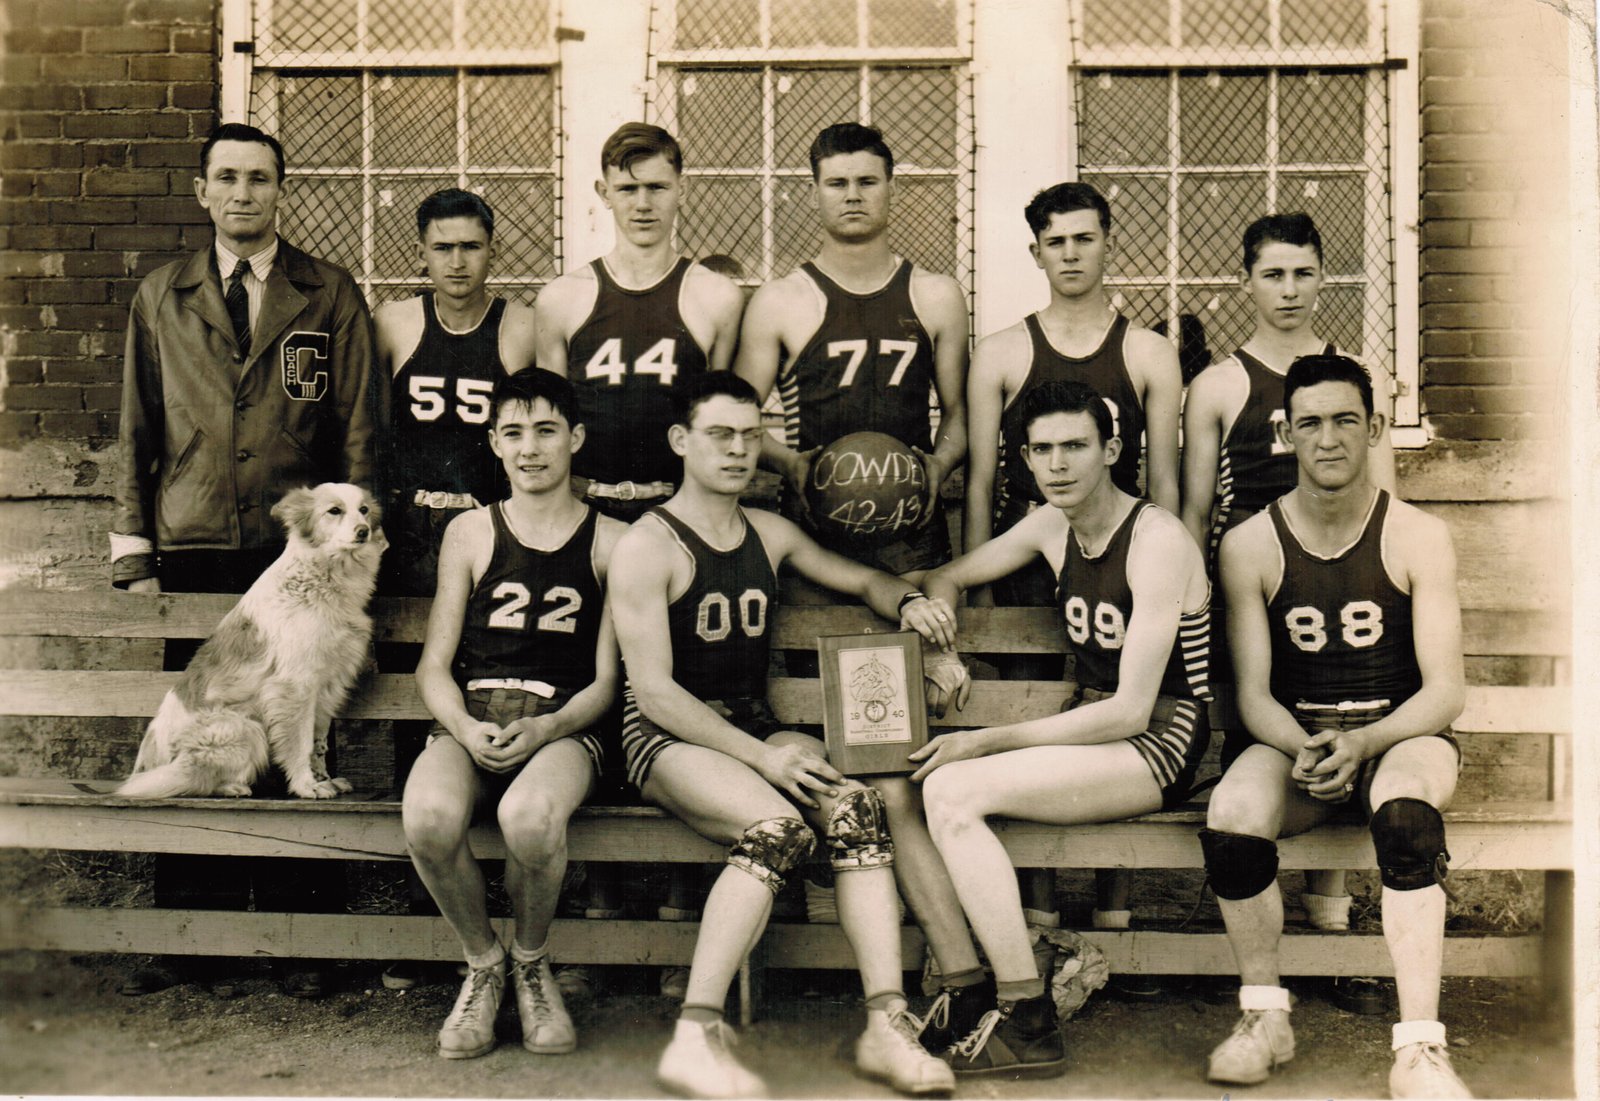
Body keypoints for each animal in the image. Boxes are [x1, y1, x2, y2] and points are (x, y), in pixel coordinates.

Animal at [117, 480, 387, 800]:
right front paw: (306, 785)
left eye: (364, 510)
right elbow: (300, 743)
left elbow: (317, 743)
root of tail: (144, 767)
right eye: (334, 511)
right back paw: (233, 786)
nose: (363, 531)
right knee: (195, 781)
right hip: (245, 727)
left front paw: (323, 778)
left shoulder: (327, 686)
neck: (320, 578)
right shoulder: (294, 685)